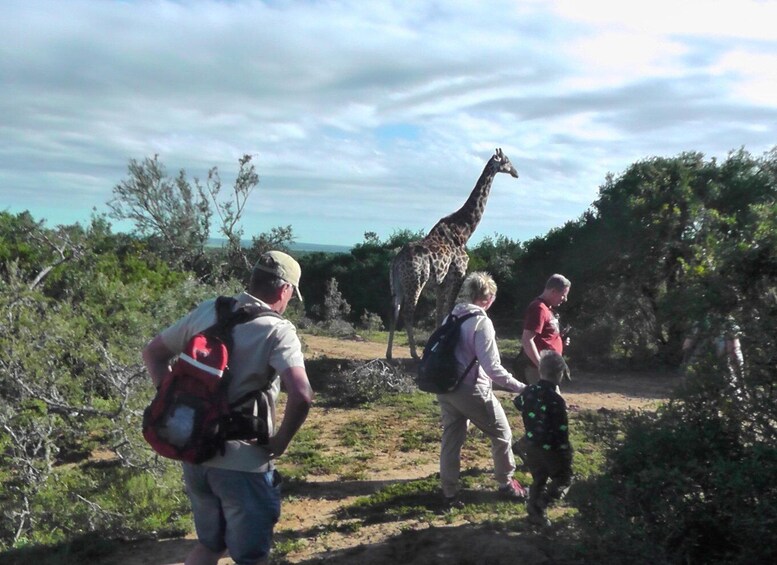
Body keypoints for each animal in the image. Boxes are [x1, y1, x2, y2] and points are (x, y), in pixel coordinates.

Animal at [386, 148, 519, 360]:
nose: (516, 172)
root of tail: (396, 261)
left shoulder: (441, 282)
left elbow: (441, 313)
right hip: (416, 281)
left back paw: (389, 353)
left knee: (394, 310)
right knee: (408, 312)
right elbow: (448, 309)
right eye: (506, 160)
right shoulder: (458, 275)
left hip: (396, 283)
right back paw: (414, 353)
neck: (465, 230)